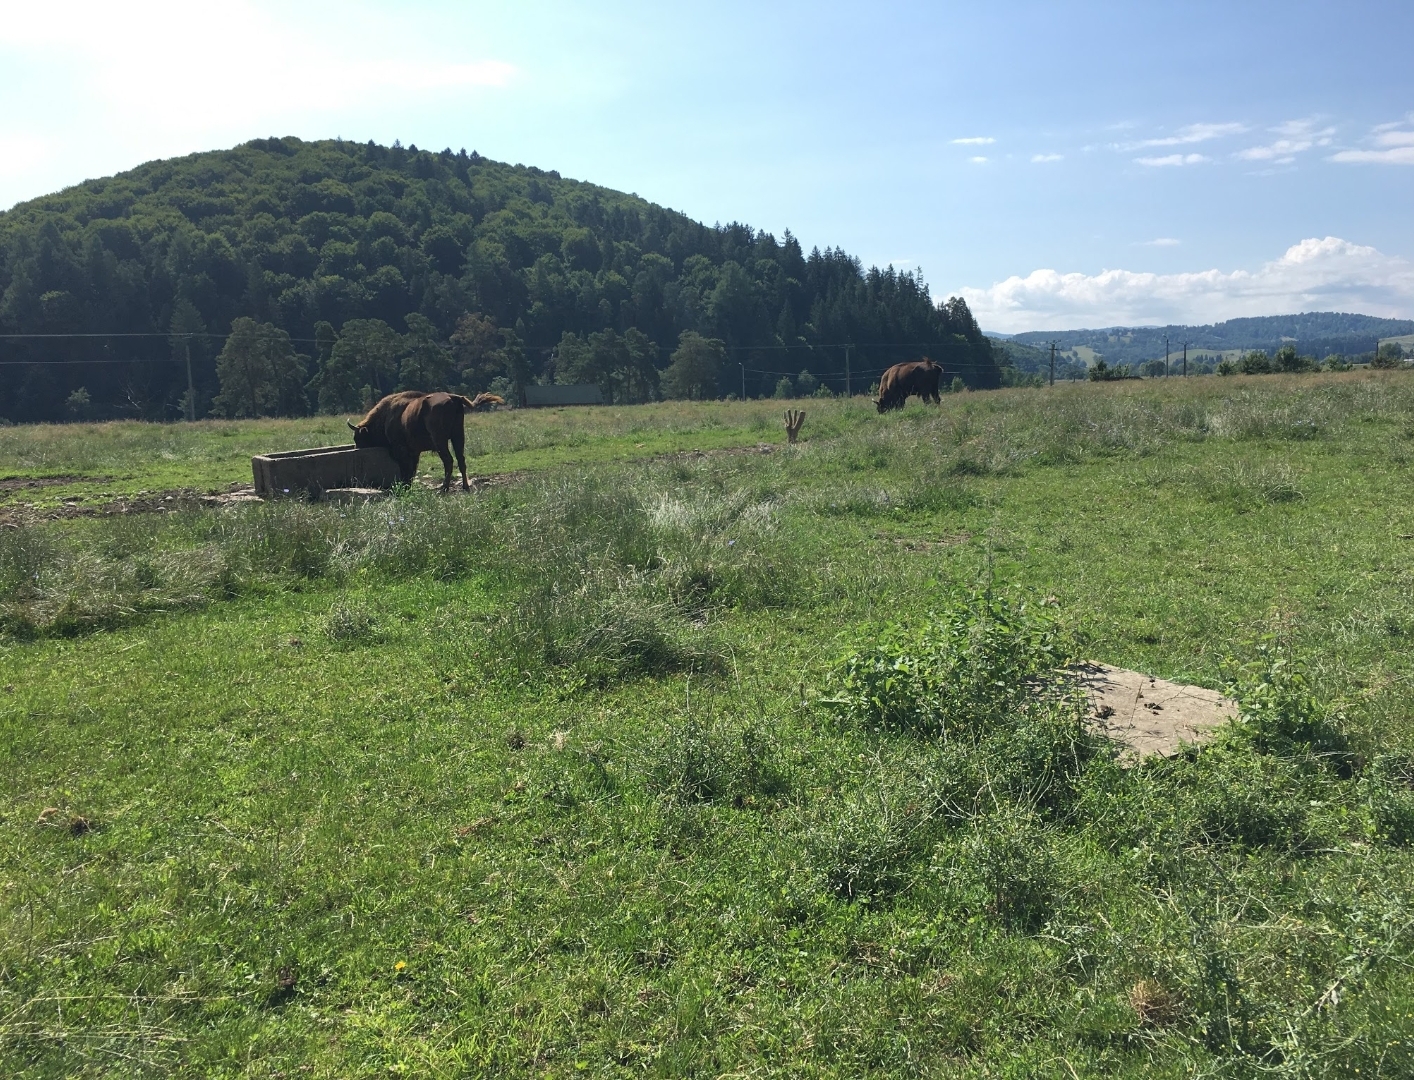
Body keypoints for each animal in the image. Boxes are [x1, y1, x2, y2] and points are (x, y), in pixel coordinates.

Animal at [349, 391, 504, 492]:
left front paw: (406, 485)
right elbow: (412, 468)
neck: (387, 417)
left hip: (440, 440)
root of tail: (454, 397)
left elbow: (407, 468)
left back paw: (444, 488)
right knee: (461, 460)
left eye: (358, 437)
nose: (357, 447)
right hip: (458, 437)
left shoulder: (402, 450)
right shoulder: (415, 452)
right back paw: (465, 487)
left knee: (448, 461)